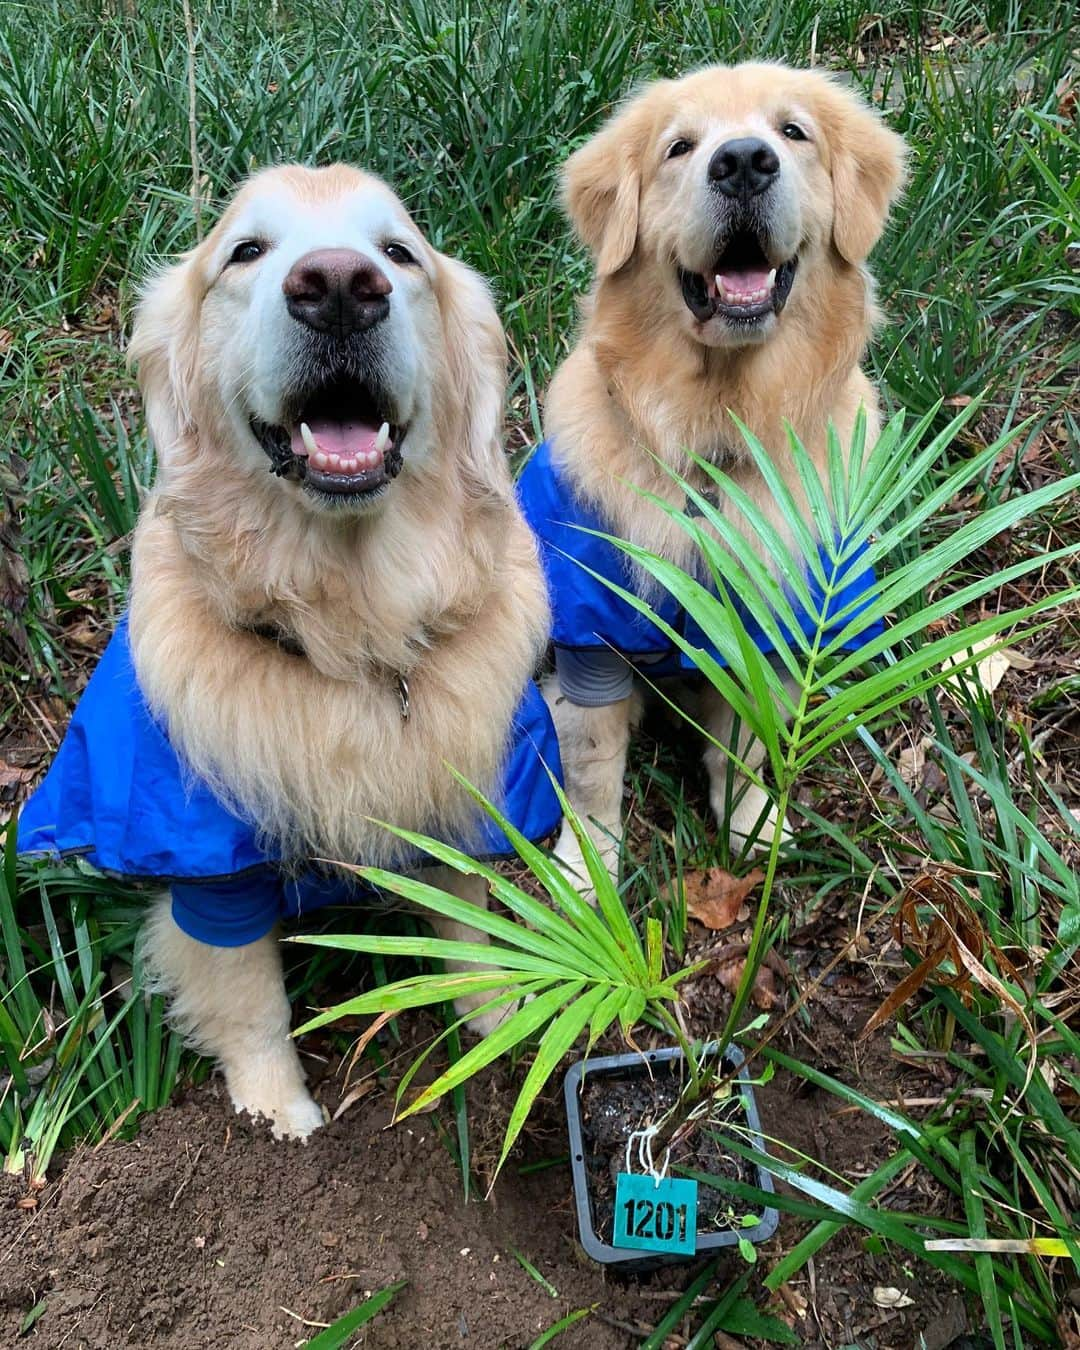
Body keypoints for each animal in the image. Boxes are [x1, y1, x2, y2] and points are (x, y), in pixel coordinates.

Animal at [21, 168, 561, 1139]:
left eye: (398, 253)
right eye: (246, 252)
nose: (341, 287)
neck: (350, 633)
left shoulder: (464, 798)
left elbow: (466, 927)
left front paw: (500, 1029)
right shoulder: (205, 858)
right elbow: (250, 1001)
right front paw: (279, 1121)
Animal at [518, 63, 907, 885]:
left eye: (793, 132)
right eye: (679, 147)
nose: (743, 163)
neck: (715, 439)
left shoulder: (772, 623)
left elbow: (750, 740)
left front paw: (751, 823)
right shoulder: (591, 628)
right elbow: (593, 763)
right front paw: (586, 868)